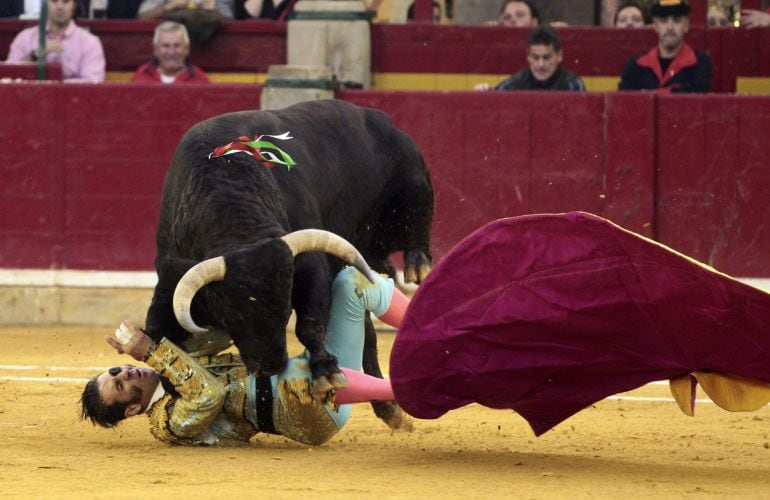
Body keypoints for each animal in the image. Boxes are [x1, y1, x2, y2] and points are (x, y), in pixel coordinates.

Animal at [142, 99, 432, 420]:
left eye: (284, 311)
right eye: (233, 318)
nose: (271, 365)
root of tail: (376, 116)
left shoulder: (310, 266)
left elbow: (309, 324)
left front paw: (327, 373)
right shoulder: (170, 279)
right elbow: (157, 338)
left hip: (411, 184)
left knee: (417, 219)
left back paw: (418, 264)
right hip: (368, 250)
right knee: (370, 317)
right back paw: (387, 406)